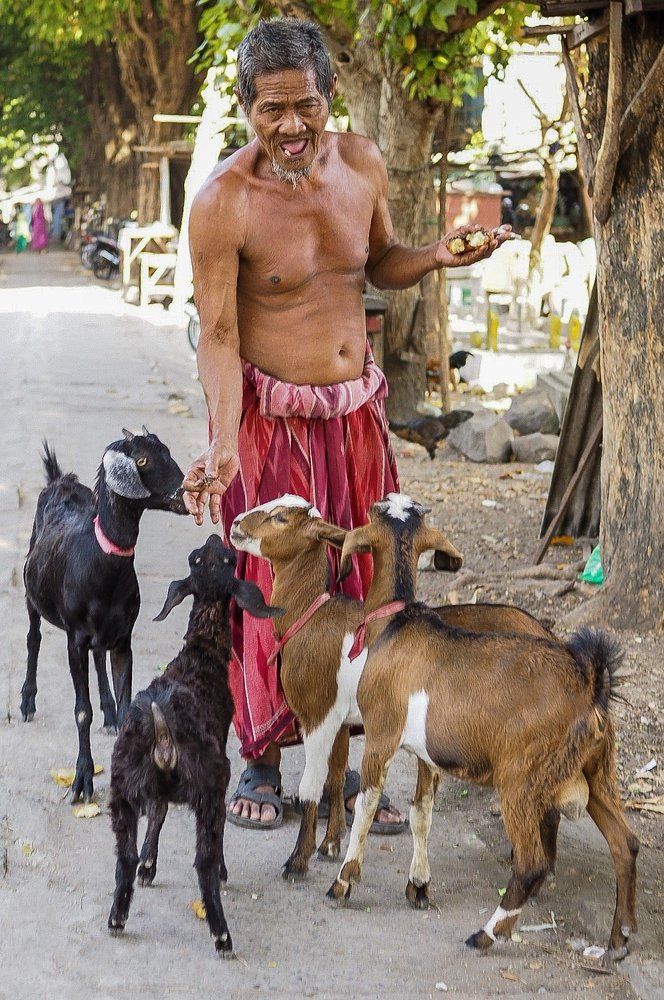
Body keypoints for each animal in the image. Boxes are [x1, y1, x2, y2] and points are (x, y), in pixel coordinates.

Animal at [22, 429, 186, 802]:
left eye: (168, 451)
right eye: (142, 459)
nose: (184, 492)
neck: (101, 565)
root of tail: (60, 479)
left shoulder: (124, 639)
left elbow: (127, 711)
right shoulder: (75, 640)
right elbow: (82, 711)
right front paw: (83, 780)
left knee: (99, 655)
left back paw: (108, 711)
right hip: (32, 593)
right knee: (33, 638)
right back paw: (27, 701)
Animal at [108, 534, 280, 956]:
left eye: (199, 558)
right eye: (231, 560)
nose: (217, 536)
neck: (200, 652)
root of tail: (163, 731)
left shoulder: (154, 791)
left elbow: (157, 813)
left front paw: (149, 866)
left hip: (122, 787)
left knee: (124, 856)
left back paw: (117, 916)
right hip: (210, 786)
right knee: (204, 859)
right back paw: (221, 933)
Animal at [230, 495, 554, 881]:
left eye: (280, 518)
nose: (235, 524)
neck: (310, 617)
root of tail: (548, 634)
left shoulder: (318, 712)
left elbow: (311, 785)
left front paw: (298, 861)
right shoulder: (341, 716)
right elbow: (335, 776)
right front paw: (331, 845)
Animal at [327, 494, 638, 962]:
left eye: (374, 510)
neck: (398, 625)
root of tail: (589, 684)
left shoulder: (382, 734)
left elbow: (366, 805)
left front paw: (342, 883)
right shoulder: (428, 756)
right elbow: (421, 813)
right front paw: (418, 887)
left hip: (521, 778)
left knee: (531, 863)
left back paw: (487, 933)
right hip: (598, 768)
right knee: (625, 844)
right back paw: (619, 940)